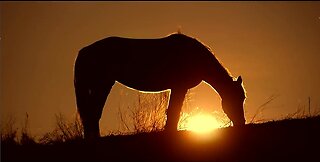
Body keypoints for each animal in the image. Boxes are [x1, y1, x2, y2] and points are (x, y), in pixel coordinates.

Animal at [74, 33, 246, 139]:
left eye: (243, 98)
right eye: (238, 98)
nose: (242, 123)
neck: (195, 57)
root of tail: (85, 51)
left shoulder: (178, 88)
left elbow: (173, 111)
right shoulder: (179, 87)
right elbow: (174, 111)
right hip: (102, 84)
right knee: (93, 112)